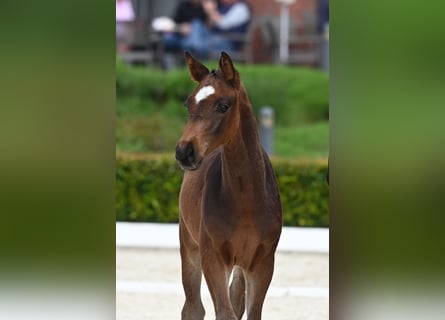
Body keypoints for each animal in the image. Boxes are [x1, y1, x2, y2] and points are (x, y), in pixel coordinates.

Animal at [174, 51, 280, 318]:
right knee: (193, 307)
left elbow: (248, 311)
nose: (184, 152)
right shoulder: (212, 257)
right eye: (188, 104)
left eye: (223, 105)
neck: (248, 199)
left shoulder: (263, 262)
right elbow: (224, 312)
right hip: (189, 245)